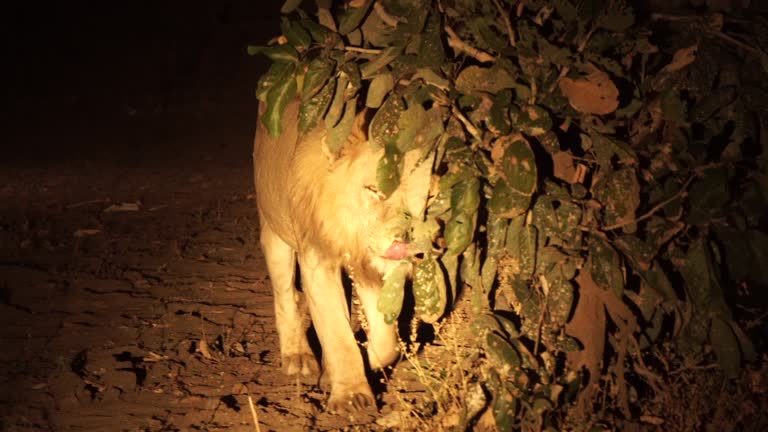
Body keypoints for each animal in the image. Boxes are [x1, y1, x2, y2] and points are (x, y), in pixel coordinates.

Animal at [253, 98, 423, 413]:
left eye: (426, 198)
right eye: (374, 190)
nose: (405, 241)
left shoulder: (375, 271)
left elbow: (386, 340)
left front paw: (364, 360)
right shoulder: (317, 260)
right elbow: (337, 333)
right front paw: (350, 396)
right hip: (275, 229)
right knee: (285, 296)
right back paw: (297, 357)